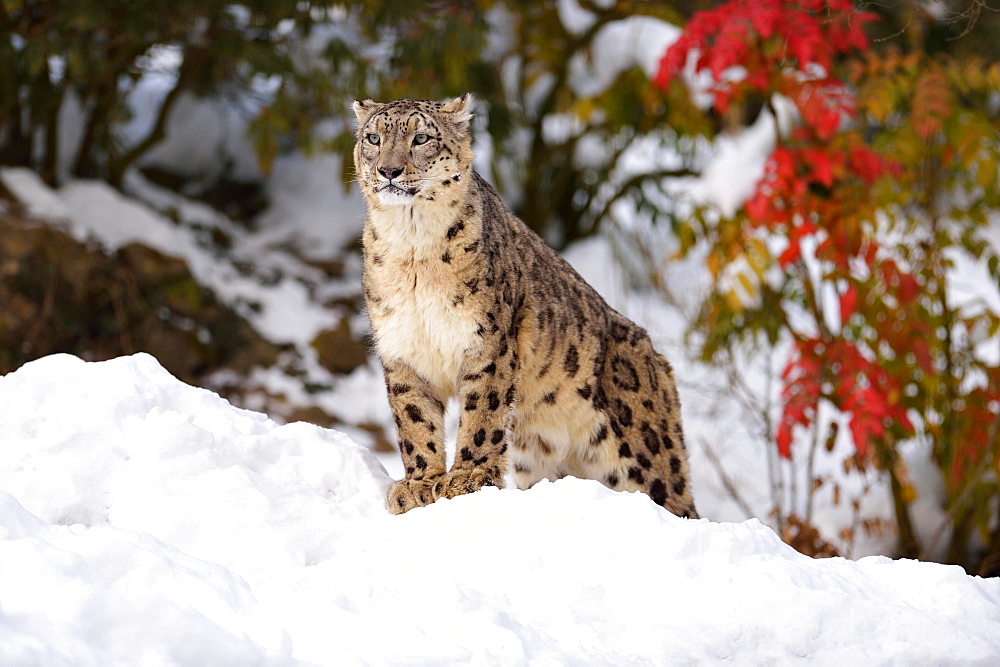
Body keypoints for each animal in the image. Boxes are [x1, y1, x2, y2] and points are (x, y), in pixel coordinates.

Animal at [356, 95, 700, 520]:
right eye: (373, 138)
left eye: (421, 138)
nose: (388, 169)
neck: (412, 247)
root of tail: (658, 360)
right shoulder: (402, 349)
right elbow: (415, 421)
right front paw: (419, 484)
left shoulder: (487, 343)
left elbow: (481, 415)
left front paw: (466, 478)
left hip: (646, 453)